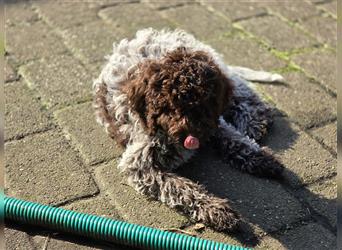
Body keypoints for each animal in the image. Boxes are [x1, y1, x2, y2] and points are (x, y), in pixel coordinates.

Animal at [92, 28, 284, 231]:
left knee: (242, 89)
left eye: (203, 102)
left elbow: (232, 137)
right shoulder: (140, 165)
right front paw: (215, 210)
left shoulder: (213, 122)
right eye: (167, 106)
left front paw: (261, 157)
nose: (190, 135)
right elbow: (179, 187)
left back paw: (253, 120)